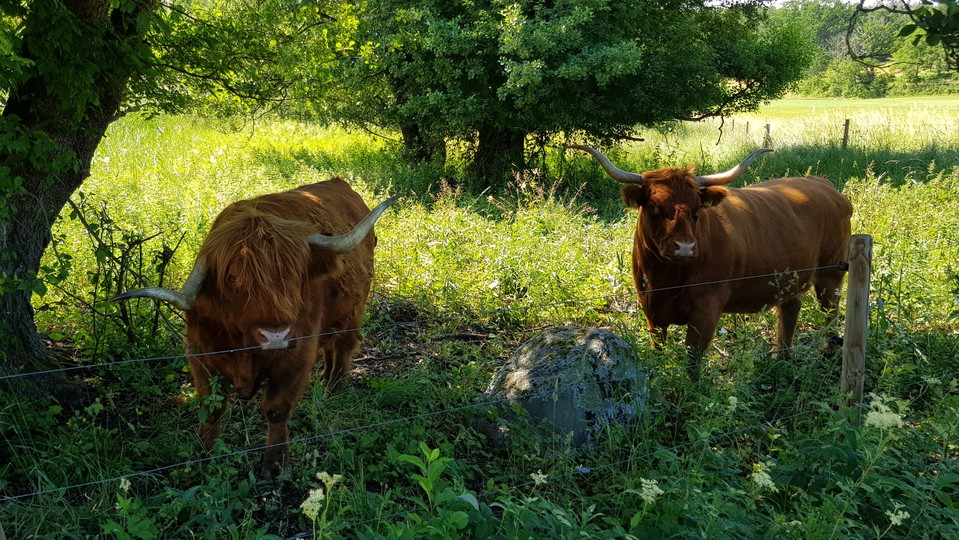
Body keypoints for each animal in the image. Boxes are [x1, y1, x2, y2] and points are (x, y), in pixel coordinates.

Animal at [113, 177, 398, 479]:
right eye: (232, 278)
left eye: (295, 274)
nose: (275, 336)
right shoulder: (200, 354)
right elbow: (211, 408)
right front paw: (204, 455)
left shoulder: (297, 355)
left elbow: (276, 409)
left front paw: (276, 464)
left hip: (353, 312)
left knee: (343, 348)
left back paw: (334, 389)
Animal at [567, 145, 852, 379]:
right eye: (653, 206)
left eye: (697, 210)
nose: (685, 247)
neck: (666, 280)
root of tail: (823, 184)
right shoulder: (651, 310)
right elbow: (657, 348)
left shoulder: (706, 309)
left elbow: (693, 357)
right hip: (792, 279)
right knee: (790, 312)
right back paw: (780, 358)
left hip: (831, 274)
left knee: (830, 313)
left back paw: (827, 355)